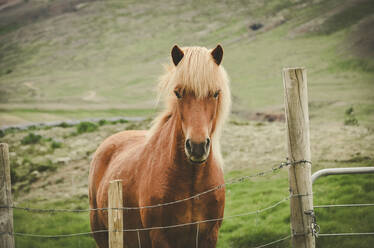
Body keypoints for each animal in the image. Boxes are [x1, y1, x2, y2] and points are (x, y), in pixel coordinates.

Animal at [89, 45, 231, 248]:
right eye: (178, 93)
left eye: (215, 93)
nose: (197, 146)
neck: (192, 183)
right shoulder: (159, 236)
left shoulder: (209, 235)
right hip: (101, 234)